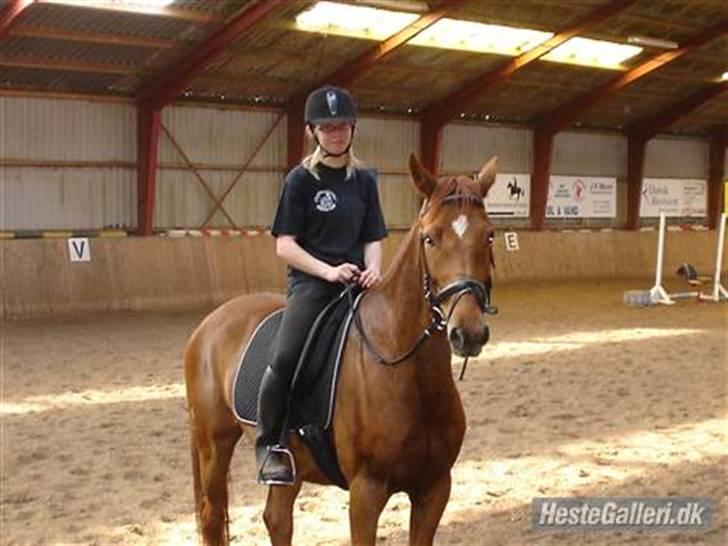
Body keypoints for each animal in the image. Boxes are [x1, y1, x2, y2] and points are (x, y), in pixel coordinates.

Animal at [185, 153, 498, 544]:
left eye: (489, 234)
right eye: (430, 238)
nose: (468, 333)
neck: (403, 368)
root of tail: (209, 323)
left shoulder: (435, 487)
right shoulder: (367, 491)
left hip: (288, 465)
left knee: (277, 518)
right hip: (215, 443)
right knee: (212, 517)